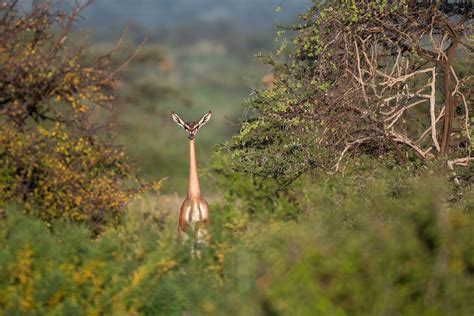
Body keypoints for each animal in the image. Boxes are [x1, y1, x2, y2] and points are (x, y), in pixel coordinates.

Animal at [171, 111, 212, 247]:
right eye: (185, 126)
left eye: (197, 126)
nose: (191, 135)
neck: (194, 196)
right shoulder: (183, 224)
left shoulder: (206, 222)